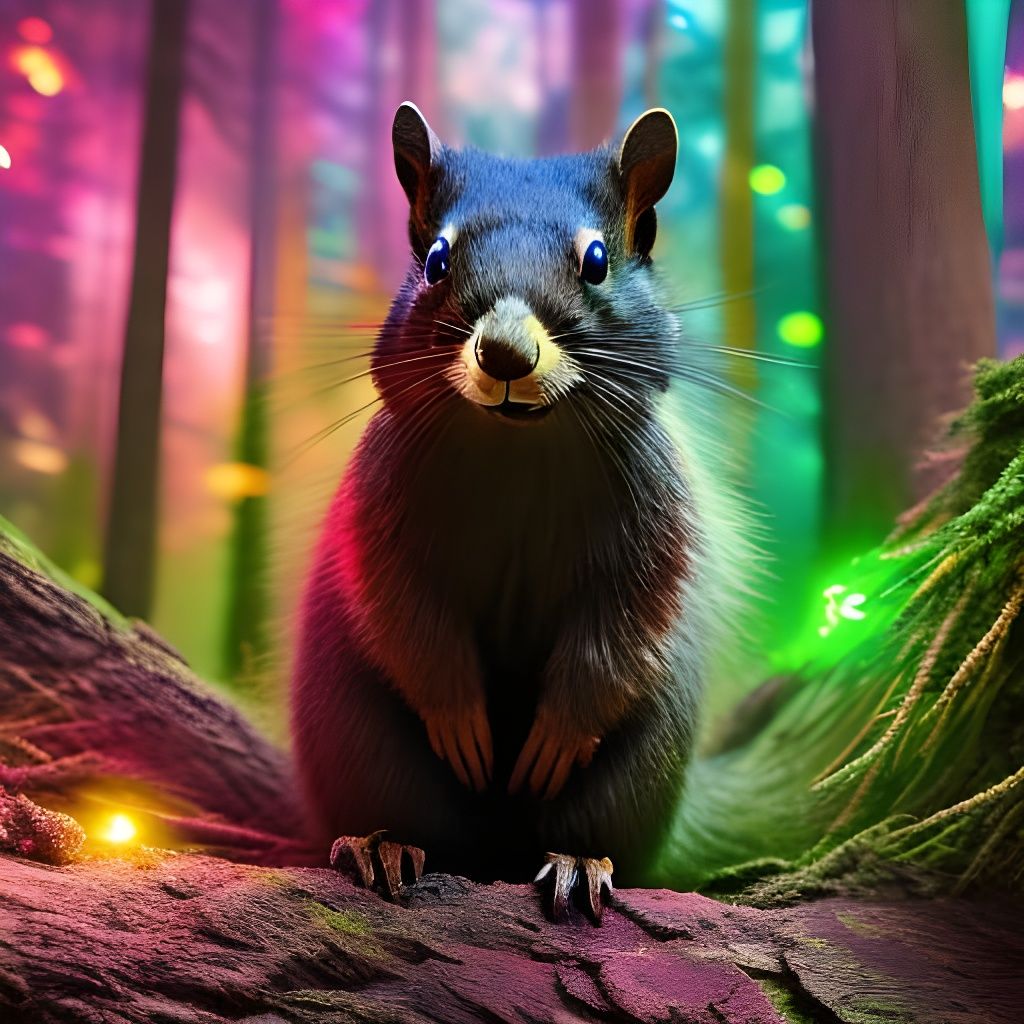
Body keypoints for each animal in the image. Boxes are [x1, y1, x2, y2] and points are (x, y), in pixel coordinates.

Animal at [291, 102, 737, 921]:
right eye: (436, 260)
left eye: (597, 259)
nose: (503, 353)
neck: (517, 446)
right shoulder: (378, 506)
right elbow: (404, 611)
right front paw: (464, 724)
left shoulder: (658, 515)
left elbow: (623, 627)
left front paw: (554, 738)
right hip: (363, 743)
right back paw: (380, 845)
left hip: (634, 773)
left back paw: (576, 861)